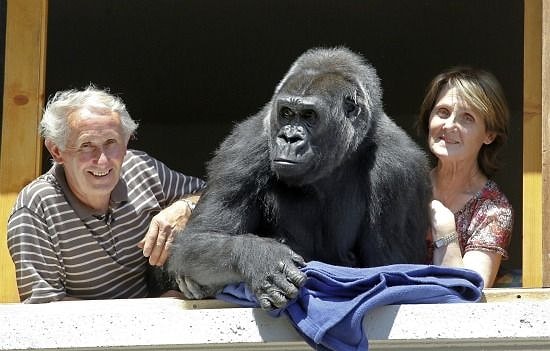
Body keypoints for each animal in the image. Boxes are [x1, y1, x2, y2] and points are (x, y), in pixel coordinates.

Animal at [166, 47, 434, 310]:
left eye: (309, 115)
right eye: (286, 113)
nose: (289, 138)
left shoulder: (399, 168)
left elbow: (392, 270)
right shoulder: (245, 143)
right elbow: (199, 238)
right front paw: (260, 258)